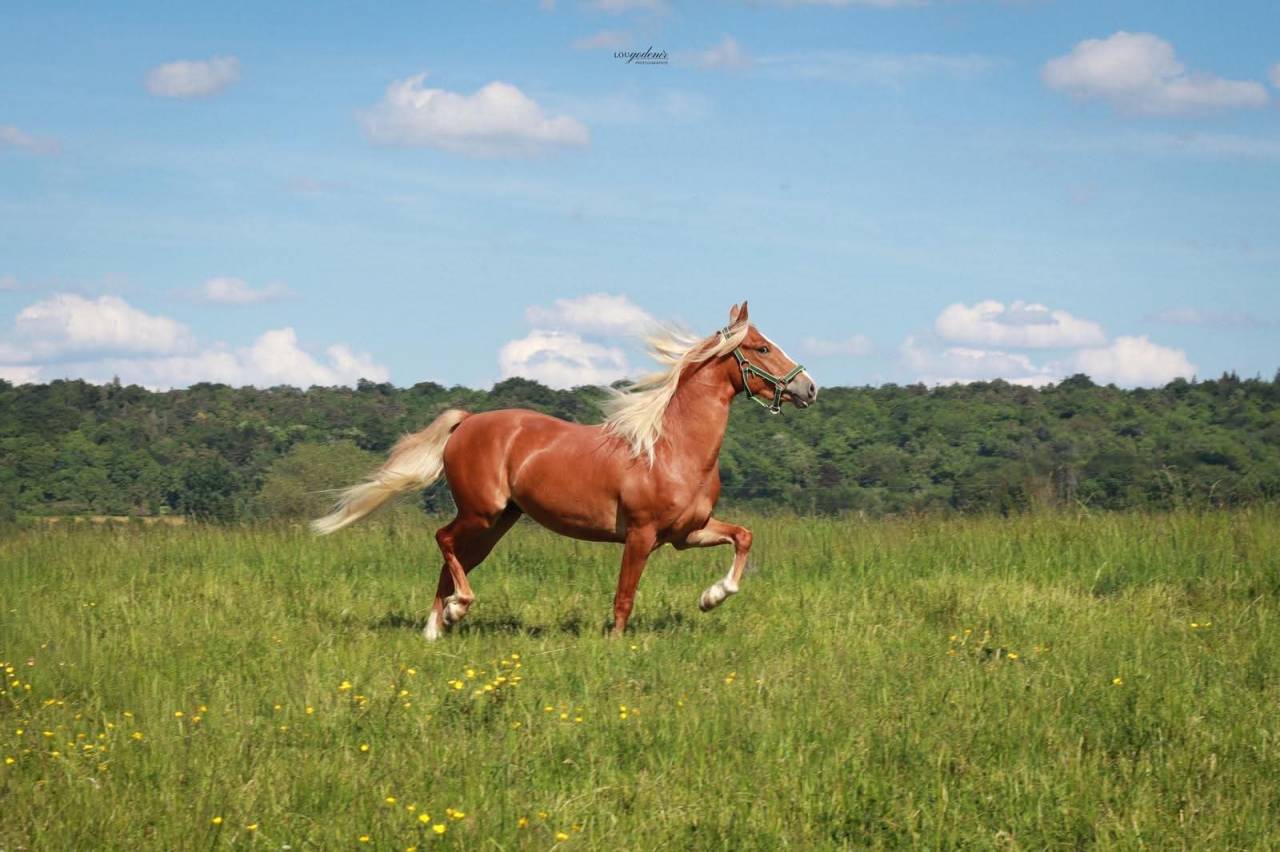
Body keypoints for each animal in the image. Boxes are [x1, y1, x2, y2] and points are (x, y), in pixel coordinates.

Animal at [312, 301, 818, 639]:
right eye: (761, 347)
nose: (809, 389)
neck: (673, 449)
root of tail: (468, 421)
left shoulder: (685, 533)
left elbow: (743, 537)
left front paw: (710, 598)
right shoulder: (641, 535)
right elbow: (624, 598)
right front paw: (615, 646)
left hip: (498, 522)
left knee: (451, 559)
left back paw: (438, 628)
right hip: (480, 511)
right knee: (443, 541)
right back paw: (456, 611)